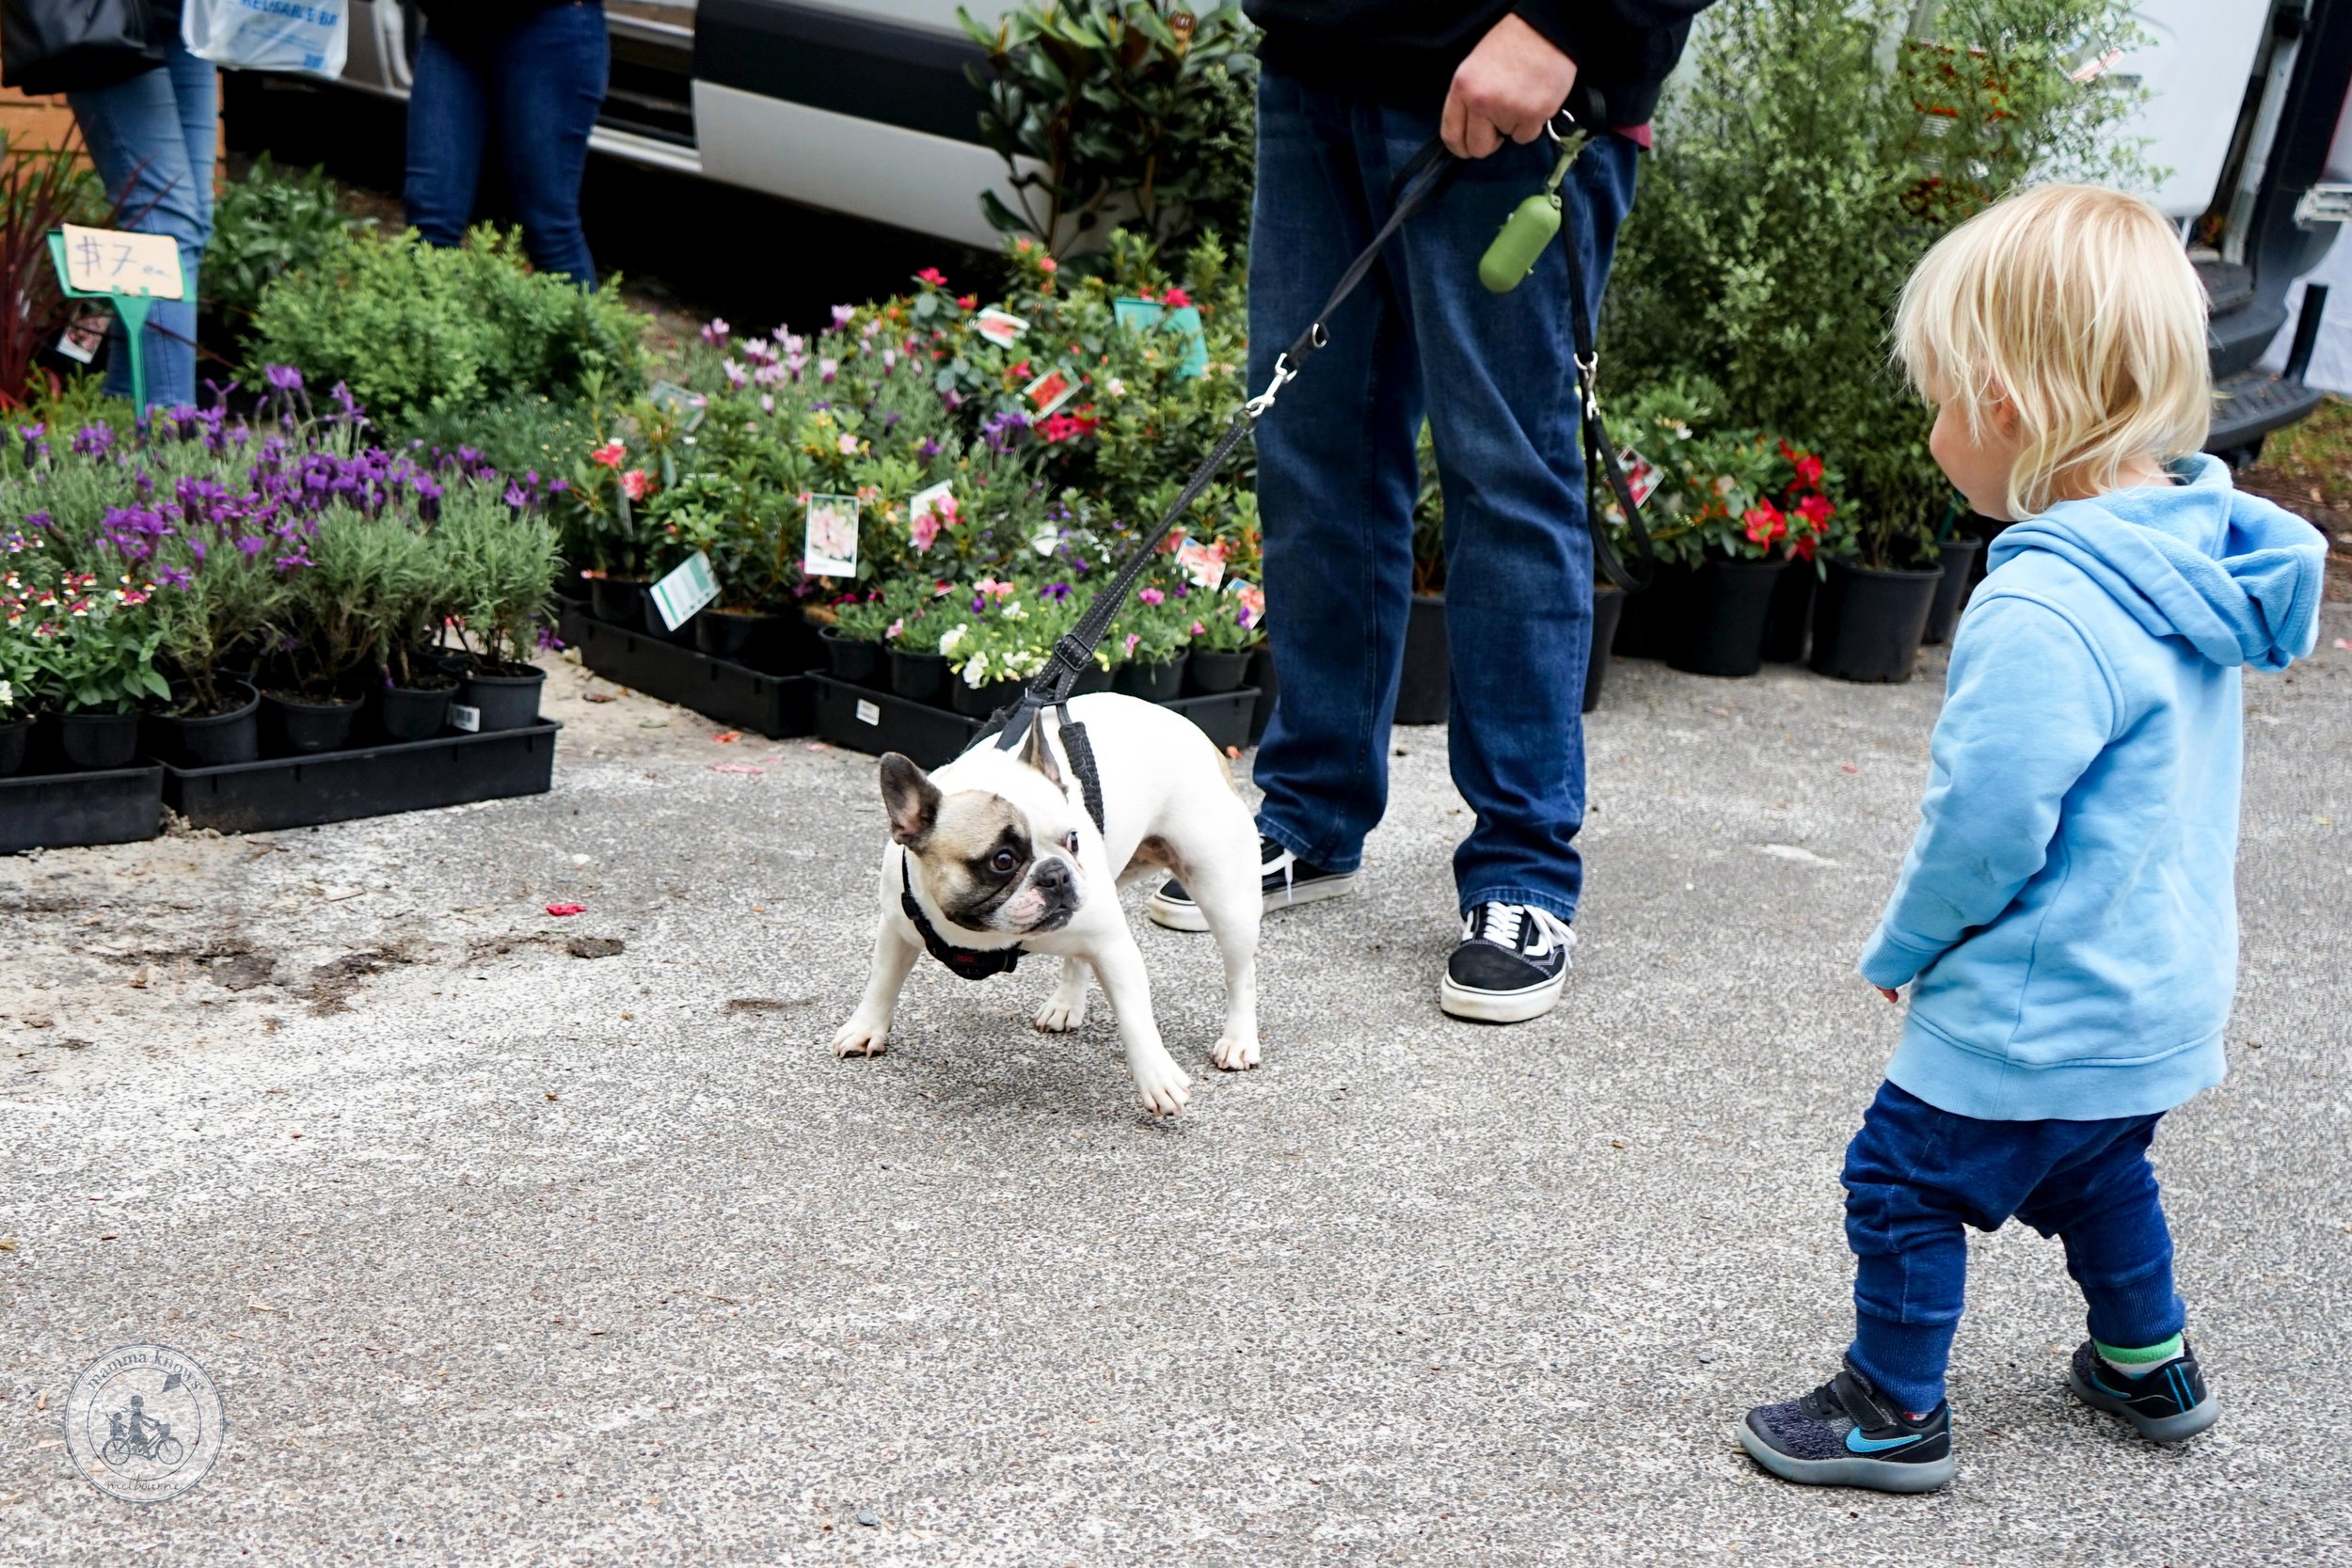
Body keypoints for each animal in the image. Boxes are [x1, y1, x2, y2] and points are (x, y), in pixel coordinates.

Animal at [833, 695, 1261, 1114]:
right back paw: (1065, 1005)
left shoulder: (1114, 947)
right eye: (1002, 860)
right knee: (1078, 957)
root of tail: (1186, 727)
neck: (981, 934)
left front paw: (1158, 1079)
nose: (1057, 873)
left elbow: (1136, 1018)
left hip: (1223, 895)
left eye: (1073, 839)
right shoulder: (896, 927)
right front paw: (865, 1028)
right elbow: (882, 980)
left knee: (1241, 975)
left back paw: (1239, 1041)